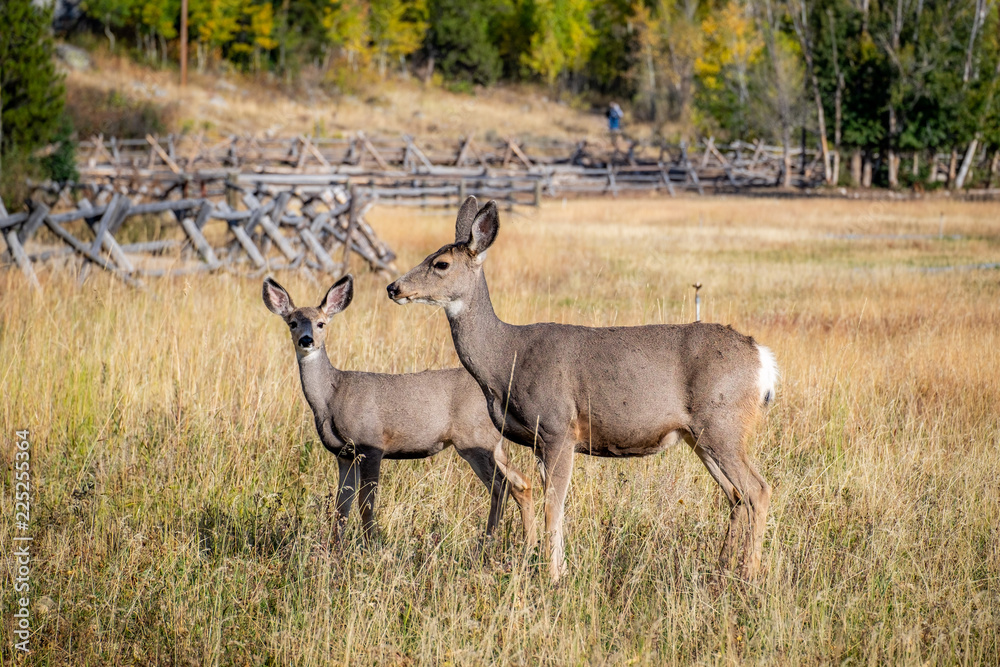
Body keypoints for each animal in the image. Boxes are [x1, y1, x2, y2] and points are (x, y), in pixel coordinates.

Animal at [263, 274, 535, 546]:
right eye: (292, 323)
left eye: (321, 323)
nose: (306, 340)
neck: (331, 398)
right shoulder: (343, 454)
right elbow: (342, 506)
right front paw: (335, 549)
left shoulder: (371, 444)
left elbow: (366, 504)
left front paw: (371, 546)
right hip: (493, 444)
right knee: (521, 483)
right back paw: (528, 543)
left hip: (474, 440)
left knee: (500, 487)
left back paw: (488, 542)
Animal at [386, 197, 777, 583]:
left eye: (441, 263)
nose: (394, 287)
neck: (505, 359)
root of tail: (763, 360)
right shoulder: (539, 440)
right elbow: (550, 502)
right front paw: (553, 568)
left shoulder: (558, 426)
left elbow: (553, 504)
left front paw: (553, 576)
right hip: (701, 435)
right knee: (735, 494)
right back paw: (722, 569)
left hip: (722, 423)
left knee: (757, 489)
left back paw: (749, 575)